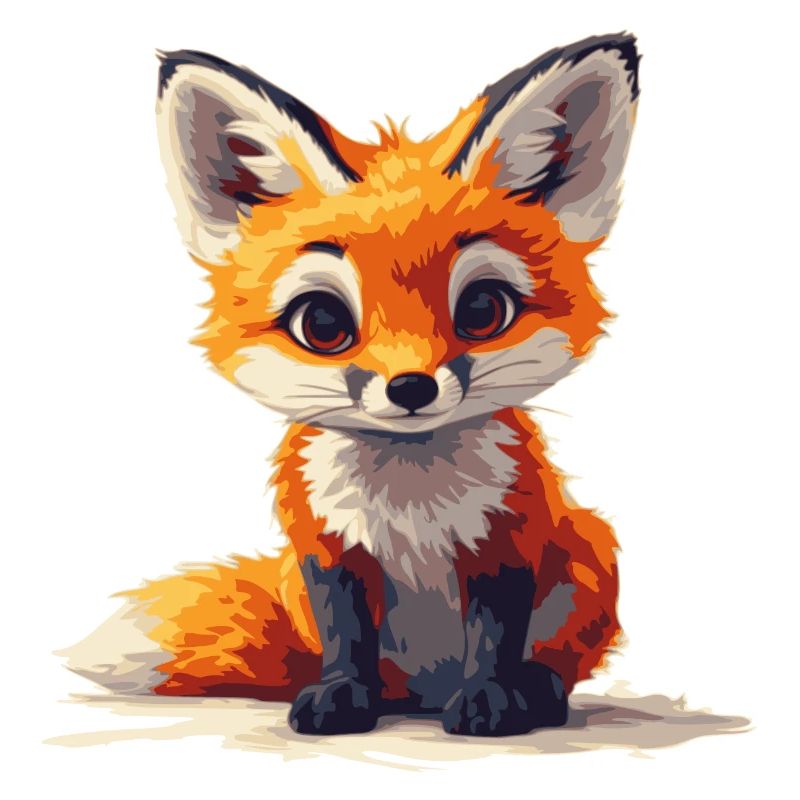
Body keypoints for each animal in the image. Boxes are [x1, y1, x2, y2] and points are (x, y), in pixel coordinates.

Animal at [65, 33, 640, 737]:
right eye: (323, 323)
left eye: (483, 310)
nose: (411, 387)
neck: (410, 503)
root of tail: (424, 691)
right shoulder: (326, 551)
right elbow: (347, 639)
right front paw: (341, 696)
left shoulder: (506, 543)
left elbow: (494, 638)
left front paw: (489, 698)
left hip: (591, 556)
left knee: (551, 660)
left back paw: (537, 692)